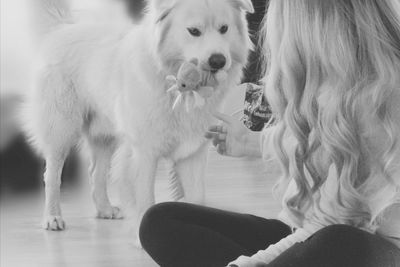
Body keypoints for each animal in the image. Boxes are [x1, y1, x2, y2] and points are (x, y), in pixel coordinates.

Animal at [25, 0, 255, 231]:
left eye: (224, 29)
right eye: (194, 31)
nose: (218, 61)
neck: (173, 83)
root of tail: (61, 29)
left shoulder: (192, 154)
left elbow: (197, 200)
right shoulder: (144, 154)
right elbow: (145, 201)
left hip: (105, 136)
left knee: (96, 173)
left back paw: (105, 209)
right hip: (61, 131)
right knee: (52, 175)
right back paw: (52, 217)